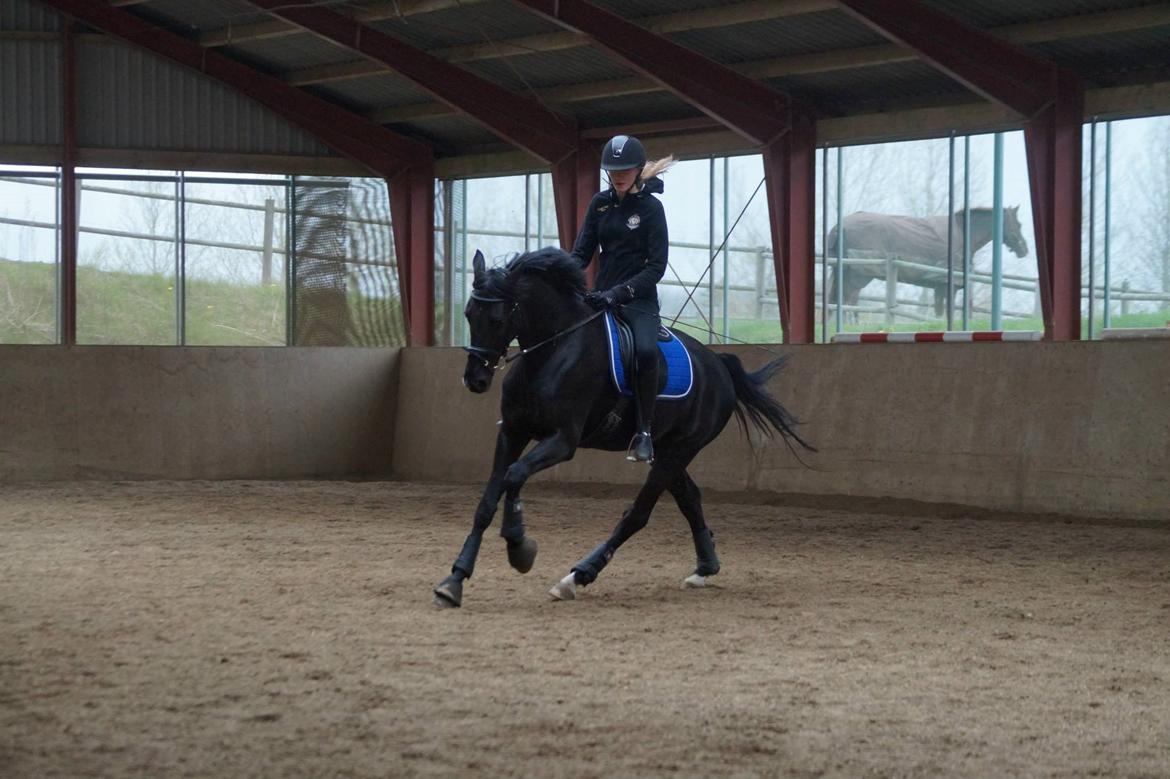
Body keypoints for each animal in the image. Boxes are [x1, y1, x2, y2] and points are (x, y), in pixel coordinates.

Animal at [432, 245, 814, 603]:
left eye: (497, 319)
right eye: (468, 314)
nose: (476, 380)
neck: (553, 350)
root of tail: (719, 366)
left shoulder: (562, 441)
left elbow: (514, 476)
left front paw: (519, 547)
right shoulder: (513, 432)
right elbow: (488, 501)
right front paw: (454, 580)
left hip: (680, 450)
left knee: (638, 514)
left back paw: (577, 577)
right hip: (670, 449)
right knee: (689, 498)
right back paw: (705, 567)